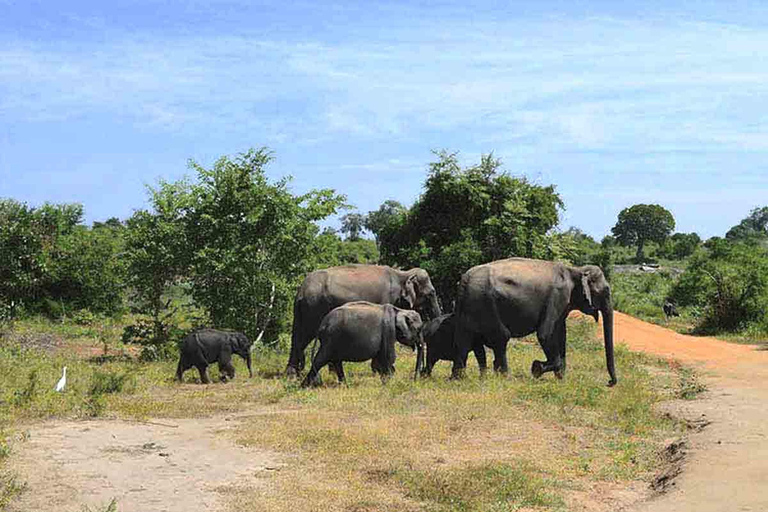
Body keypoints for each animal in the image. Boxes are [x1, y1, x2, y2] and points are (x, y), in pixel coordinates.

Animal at [286, 264, 444, 376]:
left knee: (298, 337)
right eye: (431, 293)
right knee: (304, 336)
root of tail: (301, 291)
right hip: (314, 307)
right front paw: (379, 370)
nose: (422, 372)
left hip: (303, 310)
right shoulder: (386, 298)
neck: (403, 274)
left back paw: (295, 373)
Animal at [452, 258, 616, 386]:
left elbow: (561, 334)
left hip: (468, 307)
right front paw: (536, 369)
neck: (575, 270)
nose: (609, 383)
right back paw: (504, 378)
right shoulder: (557, 296)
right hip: (486, 304)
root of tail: (465, 279)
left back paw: (459, 378)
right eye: (606, 291)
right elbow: (545, 334)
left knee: (464, 341)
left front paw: (561, 379)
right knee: (501, 337)